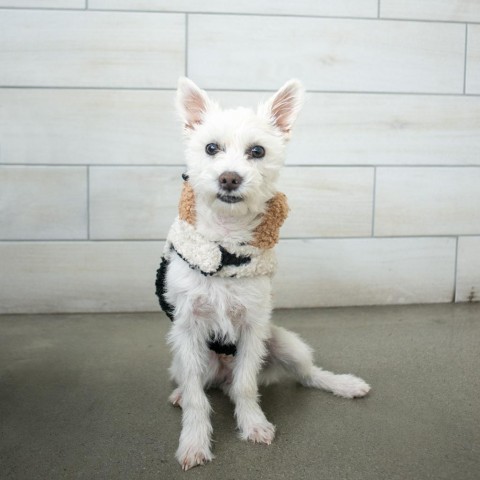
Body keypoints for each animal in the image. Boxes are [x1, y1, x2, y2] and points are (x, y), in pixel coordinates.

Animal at [155, 77, 372, 470]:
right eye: (211, 148)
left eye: (257, 151)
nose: (229, 178)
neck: (226, 243)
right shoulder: (188, 331)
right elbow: (196, 397)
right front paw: (194, 441)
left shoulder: (253, 326)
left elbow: (246, 386)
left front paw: (253, 424)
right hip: (185, 360)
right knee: (199, 384)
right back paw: (181, 393)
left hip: (285, 344)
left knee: (304, 376)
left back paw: (343, 384)